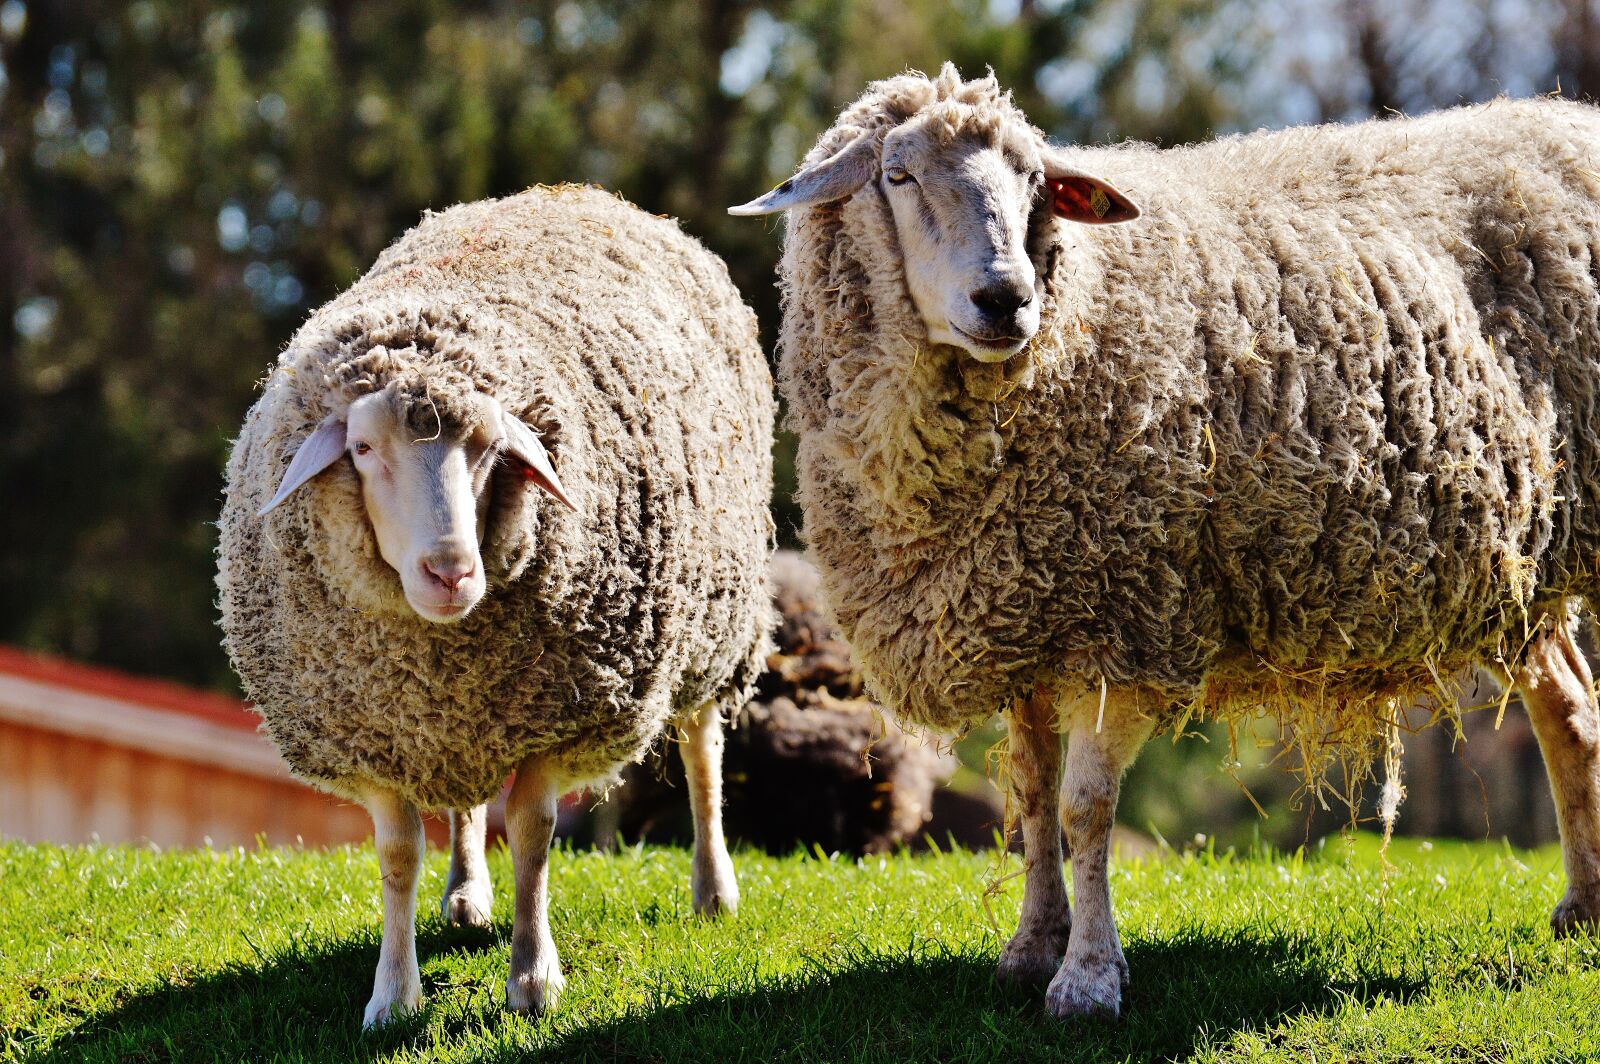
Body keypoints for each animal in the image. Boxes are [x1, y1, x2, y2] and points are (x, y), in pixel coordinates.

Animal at [217, 184, 774, 1027]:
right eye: (362, 450)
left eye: (488, 450)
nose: (451, 571)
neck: (436, 659)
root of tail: (581, 191)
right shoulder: (379, 738)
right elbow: (398, 853)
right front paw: (394, 994)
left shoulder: (563, 719)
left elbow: (536, 834)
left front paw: (533, 978)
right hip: (468, 725)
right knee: (466, 807)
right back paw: (466, 895)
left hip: (718, 632)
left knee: (702, 756)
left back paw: (713, 890)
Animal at [731, 64, 1600, 1019]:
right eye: (898, 175)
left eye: (1035, 184)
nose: (1007, 298)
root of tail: (1568, 118)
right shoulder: (1022, 614)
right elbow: (1032, 795)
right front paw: (1031, 947)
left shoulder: (1129, 618)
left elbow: (1085, 809)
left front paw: (1087, 978)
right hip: (1523, 567)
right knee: (1571, 708)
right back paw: (1583, 906)